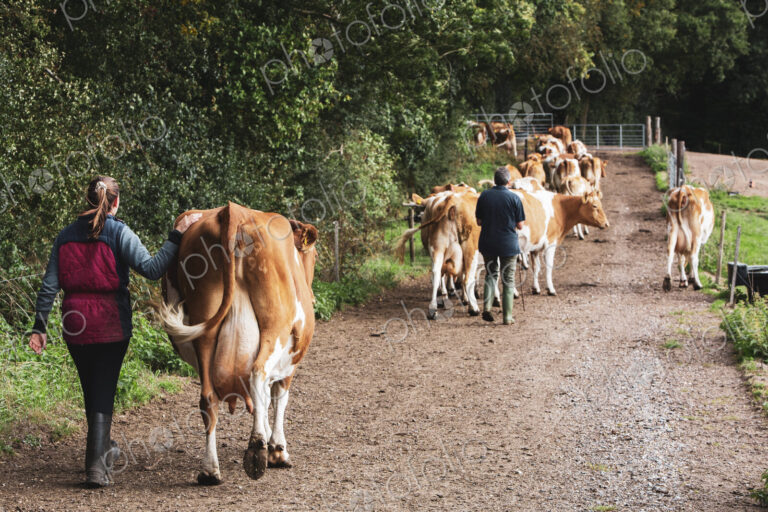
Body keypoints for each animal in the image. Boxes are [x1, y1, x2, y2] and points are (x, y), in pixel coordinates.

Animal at [156, 203, 318, 484]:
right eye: (315, 257)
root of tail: (234, 211)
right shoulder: (290, 362)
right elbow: (278, 398)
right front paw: (277, 449)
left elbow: (264, 398)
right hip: (274, 326)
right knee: (257, 373)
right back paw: (256, 450)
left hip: (205, 329)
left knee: (208, 398)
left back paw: (210, 471)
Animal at [397, 190, 482, 318]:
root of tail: (451, 198)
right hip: (469, 248)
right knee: (467, 278)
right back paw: (474, 309)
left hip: (437, 247)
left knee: (436, 273)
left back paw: (433, 308)